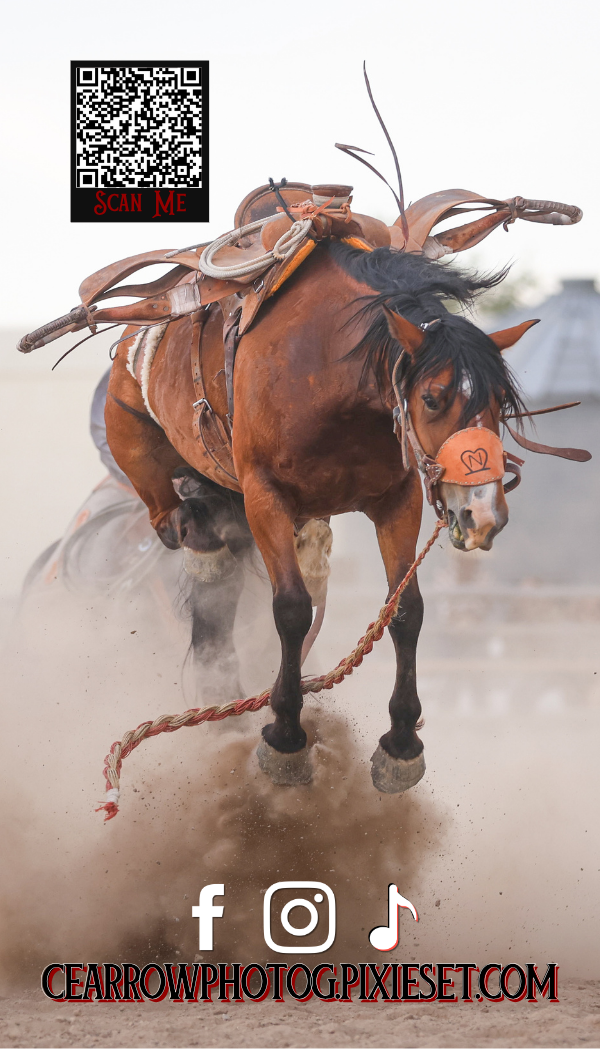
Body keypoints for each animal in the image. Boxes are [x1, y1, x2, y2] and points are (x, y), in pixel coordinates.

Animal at [104, 241, 533, 793]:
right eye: (433, 398)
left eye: (500, 401)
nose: (483, 512)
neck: (330, 372)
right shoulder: (264, 497)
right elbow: (291, 609)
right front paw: (285, 735)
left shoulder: (398, 500)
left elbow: (406, 610)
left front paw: (401, 743)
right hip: (168, 491)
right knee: (194, 544)